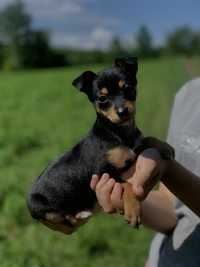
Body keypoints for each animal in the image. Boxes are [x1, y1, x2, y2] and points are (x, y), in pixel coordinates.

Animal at [28, 57, 144, 233]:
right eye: (102, 99)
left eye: (128, 88)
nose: (123, 112)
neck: (118, 133)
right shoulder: (102, 173)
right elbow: (127, 184)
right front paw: (133, 211)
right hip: (43, 209)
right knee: (63, 219)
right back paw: (81, 213)